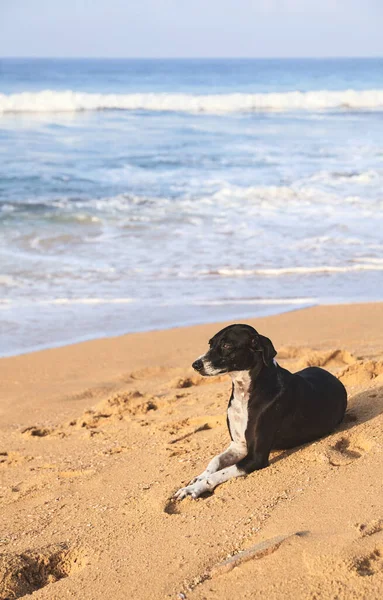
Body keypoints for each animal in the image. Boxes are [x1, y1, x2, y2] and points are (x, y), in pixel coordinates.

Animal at [176, 326, 350, 500]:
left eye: (227, 345)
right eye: (210, 344)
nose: (195, 365)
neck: (245, 392)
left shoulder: (256, 457)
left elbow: (217, 474)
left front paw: (194, 488)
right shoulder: (238, 446)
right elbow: (215, 461)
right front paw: (199, 477)